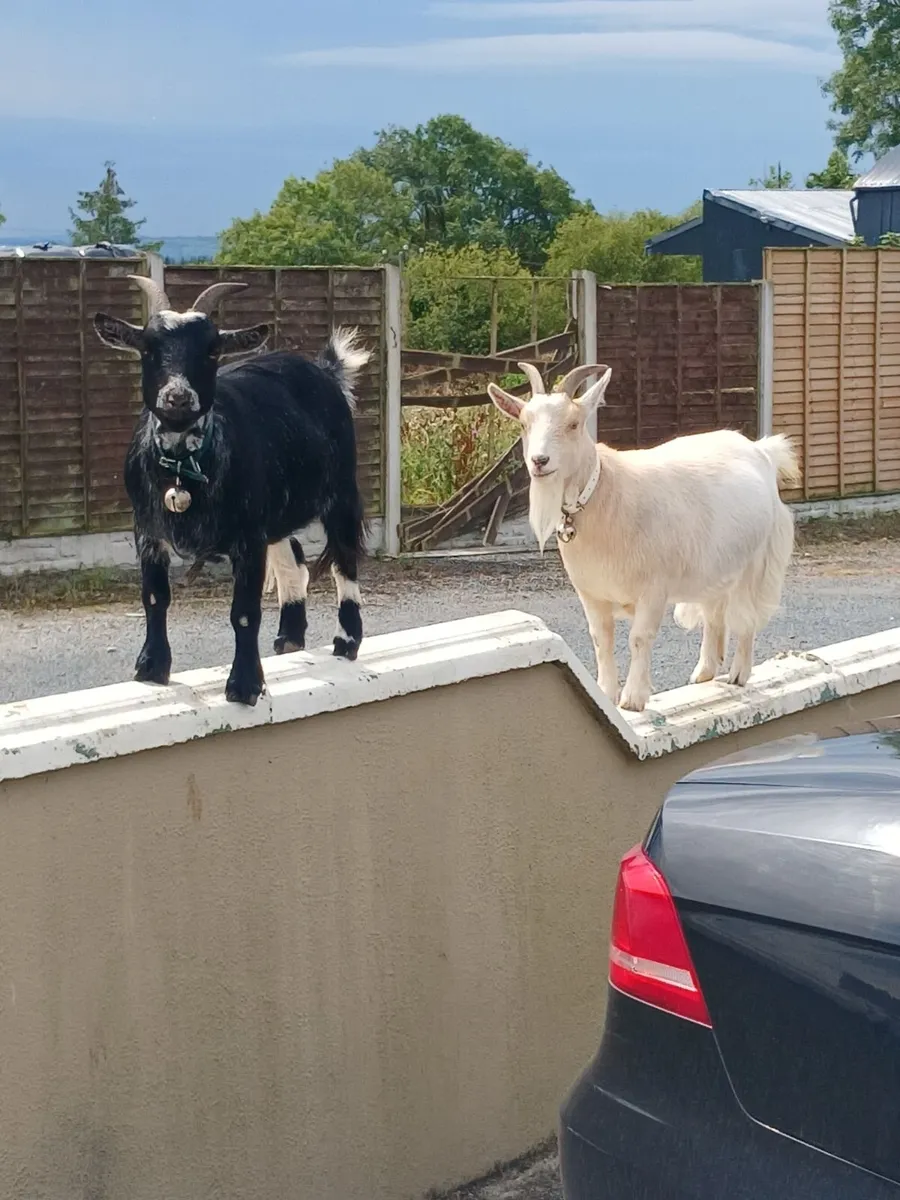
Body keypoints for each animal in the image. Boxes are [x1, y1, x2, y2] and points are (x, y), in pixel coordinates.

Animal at [93, 275, 368, 706]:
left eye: (211, 350)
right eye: (148, 347)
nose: (177, 396)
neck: (185, 471)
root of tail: (325, 370)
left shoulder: (248, 537)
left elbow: (244, 612)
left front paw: (244, 685)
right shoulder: (147, 529)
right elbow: (155, 596)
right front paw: (151, 668)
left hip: (341, 490)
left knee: (345, 559)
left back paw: (347, 641)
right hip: (277, 513)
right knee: (294, 562)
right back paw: (290, 638)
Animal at [488, 363, 800, 713]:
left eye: (573, 423)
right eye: (524, 424)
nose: (539, 461)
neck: (606, 493)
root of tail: (761, 450)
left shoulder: (653, 588)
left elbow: (639, 638)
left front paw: (633, 699)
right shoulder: (591, 592)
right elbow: (601, 639)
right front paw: (606, 693)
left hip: (758, 560)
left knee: (747, 615)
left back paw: (738, 674)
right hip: (717, 565)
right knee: (714, 612)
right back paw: (704, 673)